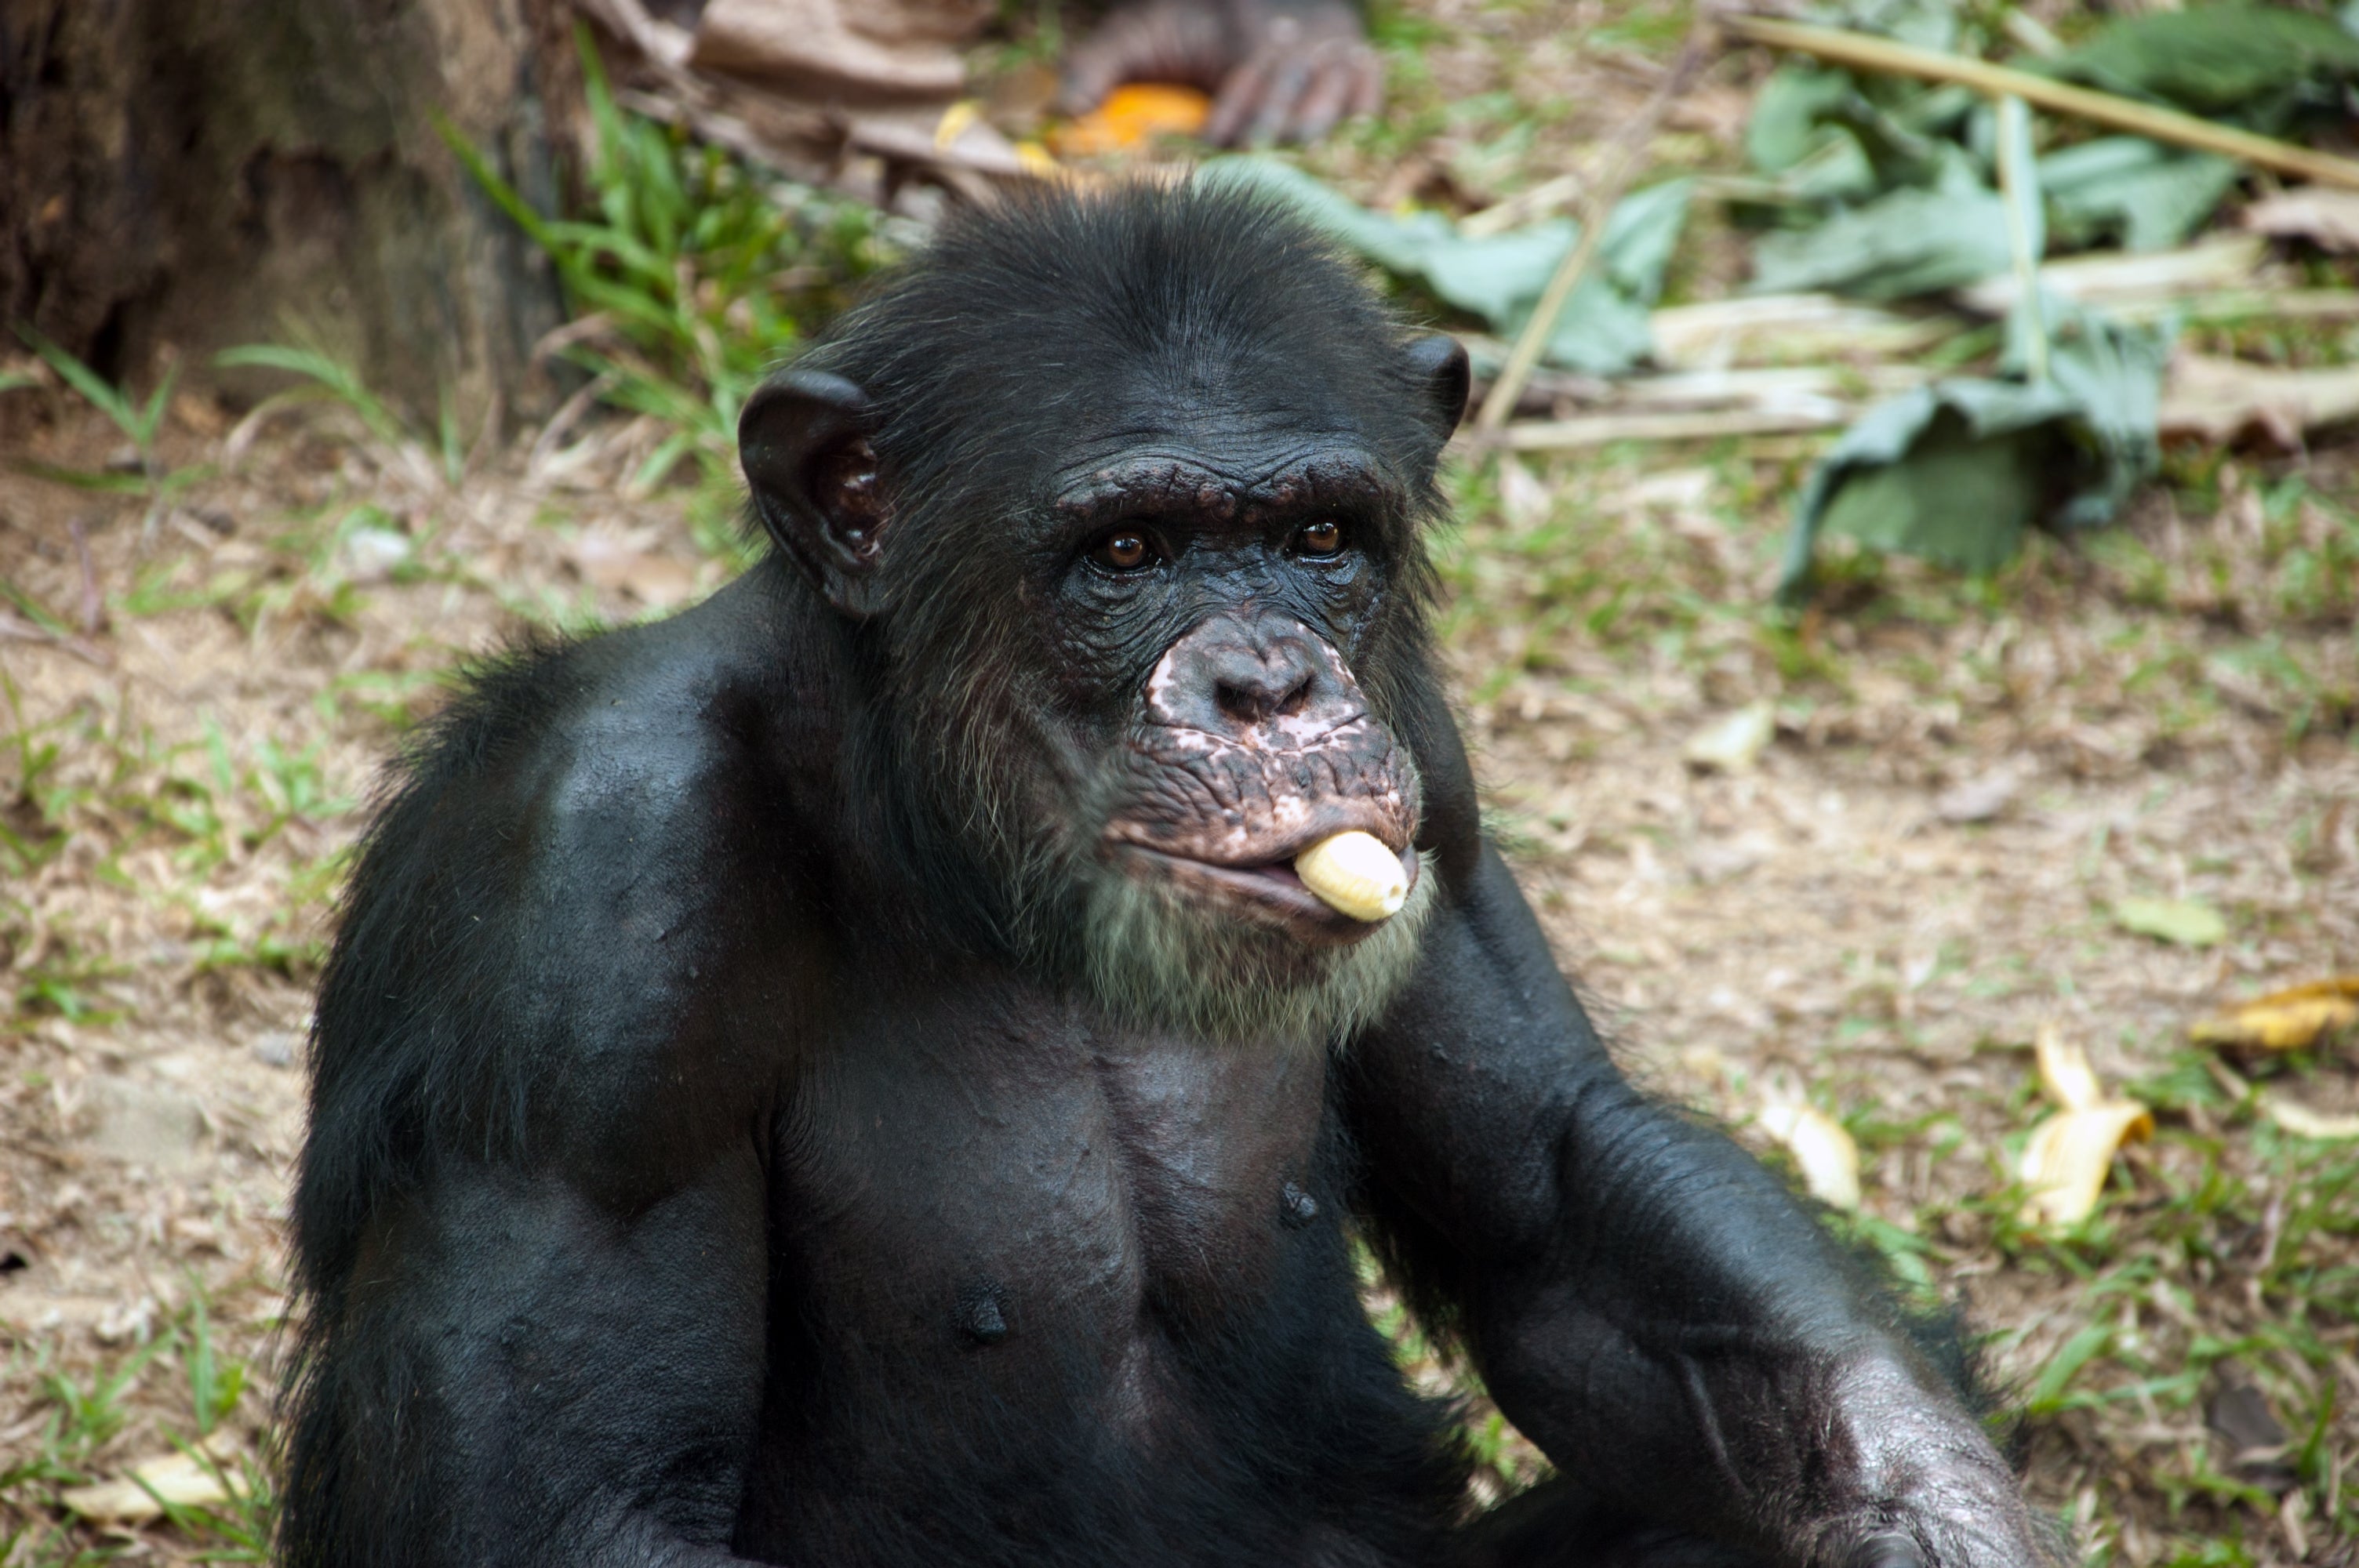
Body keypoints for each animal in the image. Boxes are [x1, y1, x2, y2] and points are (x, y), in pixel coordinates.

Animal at [280, 183, 2066, 1565]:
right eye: (1125, 551)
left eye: (1319, 539)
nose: (1267, 681)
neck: (943, 844)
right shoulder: (590, 917)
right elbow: (580, 1498)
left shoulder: (1431, 759)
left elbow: (1551, 1196)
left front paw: (1935, 1516)